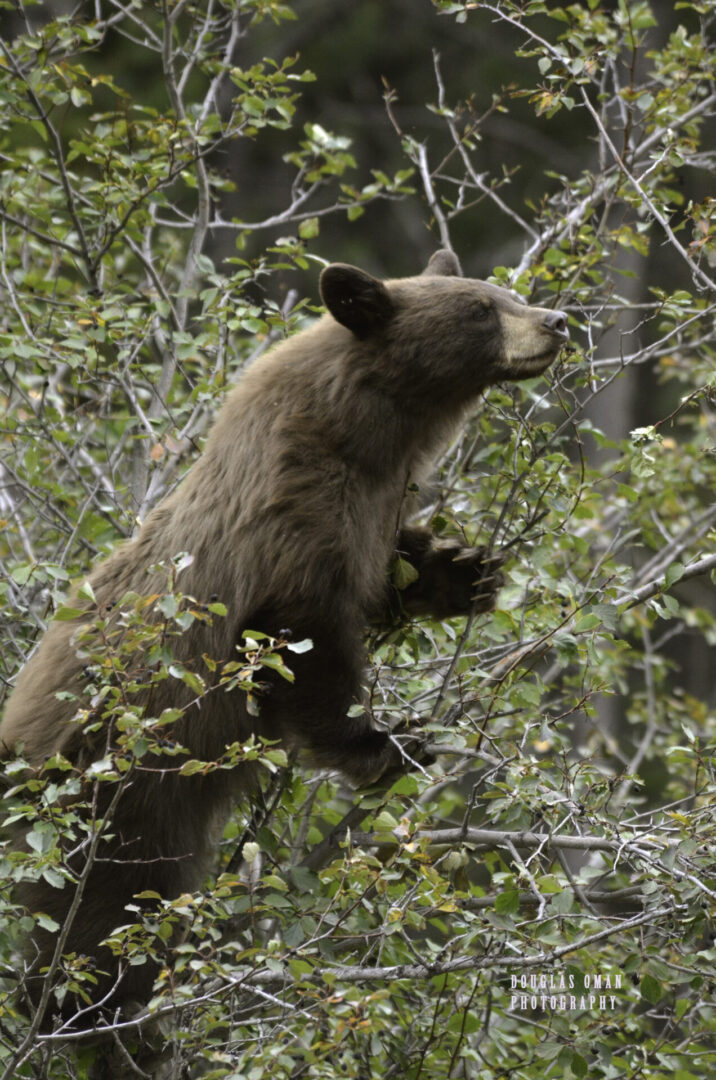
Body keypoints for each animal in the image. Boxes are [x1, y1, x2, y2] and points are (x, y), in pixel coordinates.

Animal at [1, 250, 570, 1019]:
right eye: (481, 309)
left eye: (504, 292)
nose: (557, 320)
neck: (361, 438)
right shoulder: (291, 512)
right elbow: (299, 644)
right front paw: (384, 743)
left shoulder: (372, 510)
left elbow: (384, 574)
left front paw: (463, 569)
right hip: (103, 806)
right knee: (97, 929)